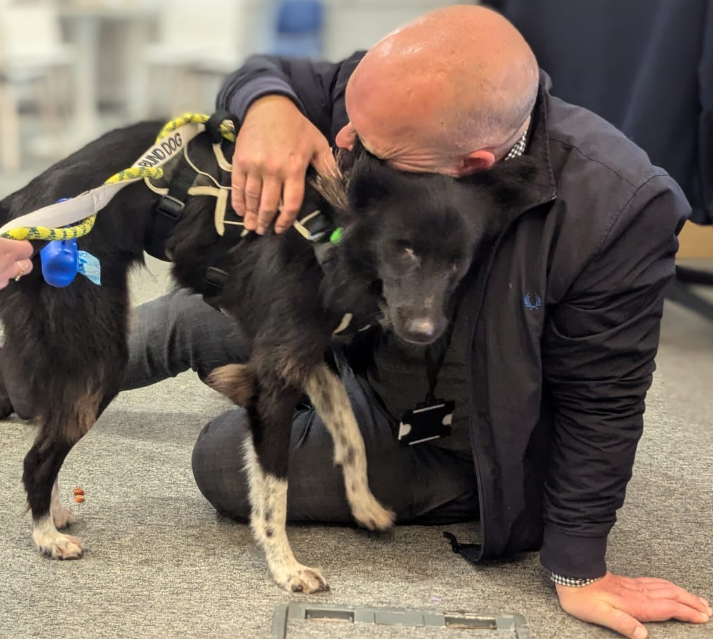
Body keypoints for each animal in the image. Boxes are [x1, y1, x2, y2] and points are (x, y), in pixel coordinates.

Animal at [0, 116, 532, 596]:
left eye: (459, 262)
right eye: (404, 249)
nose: (424, 331)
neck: (331, 237)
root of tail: (24, 200)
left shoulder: (308, 356)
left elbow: (351, 433)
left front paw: (364, 504)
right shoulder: (273, 384)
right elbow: (275, 490)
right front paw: (286, 568)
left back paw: (53, 511)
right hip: (98, 352)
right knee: (37, 455)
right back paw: (46, 534)